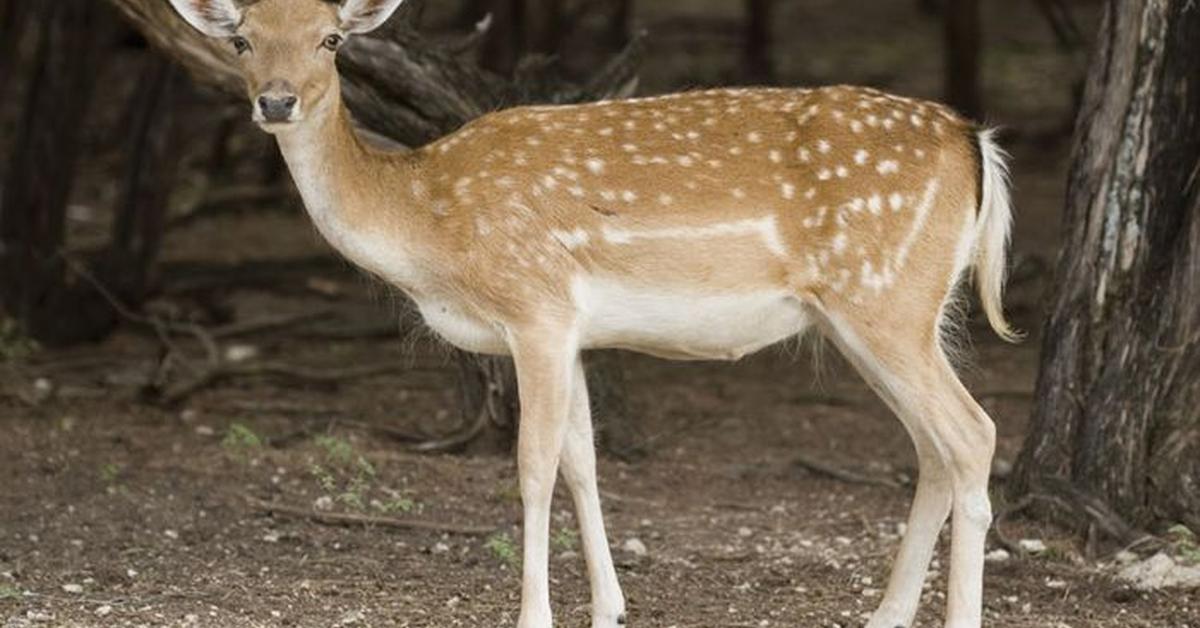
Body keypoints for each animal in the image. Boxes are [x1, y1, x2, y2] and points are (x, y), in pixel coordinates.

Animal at [166, 1, 1012, 628]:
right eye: (242, 37)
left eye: (332, 38)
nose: (277, 100)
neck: (428, 226)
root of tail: (975, 142)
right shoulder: (571, 329)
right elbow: (584, 461)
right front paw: (610, 607)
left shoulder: (534, 306)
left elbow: (533, 465)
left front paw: (533, 615)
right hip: (881, 312)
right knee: (933, 447)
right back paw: (885, 614)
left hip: (886, 298)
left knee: (973, 433)